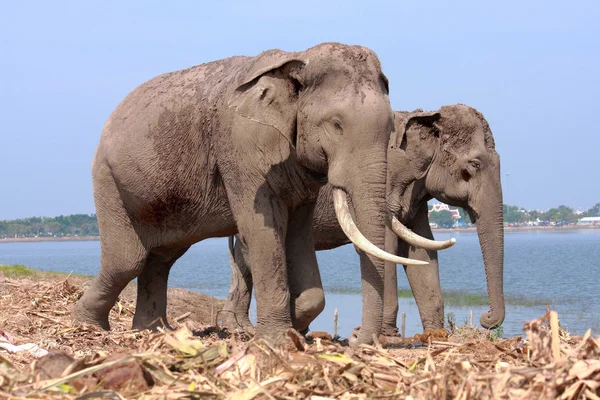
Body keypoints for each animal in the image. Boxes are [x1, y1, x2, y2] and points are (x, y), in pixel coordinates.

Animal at [72, 42, 432, 346]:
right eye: (336, 124)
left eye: (390, 129)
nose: (356, 338)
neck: (295, 60)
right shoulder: (242, 149)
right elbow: (261, 229)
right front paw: (277, 339)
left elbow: (298, 236)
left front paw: (296, 321)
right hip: (108, 180)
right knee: (127, 260)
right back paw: (87, 324)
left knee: (161, 258)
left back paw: (154, 331)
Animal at [223, 104, 504, 338]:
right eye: (474, 164)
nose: (486, 318)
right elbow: (388, 245)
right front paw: (387, 335)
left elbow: (422, 250)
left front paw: (434, 335)